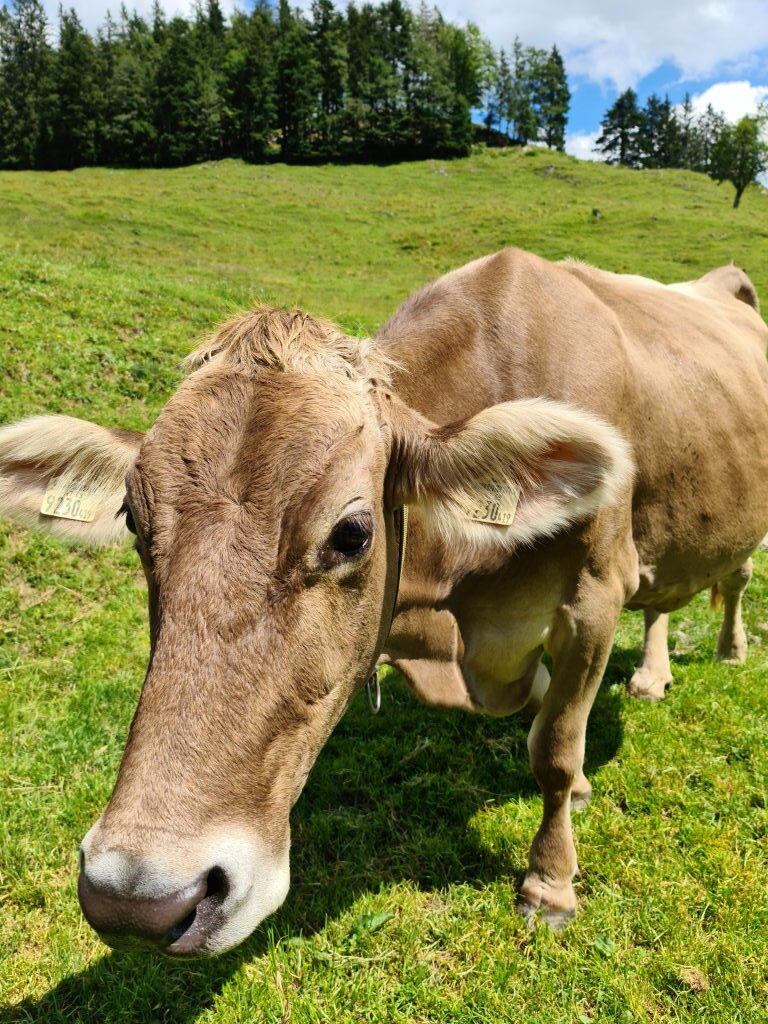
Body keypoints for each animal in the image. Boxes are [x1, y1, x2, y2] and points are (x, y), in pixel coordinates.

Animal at [1, 248, 766, 957]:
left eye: (351, 533)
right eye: (133, 519)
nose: (134, 896)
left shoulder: (596, 594)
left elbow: (553, 747)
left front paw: (549, 883)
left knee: (731, 582)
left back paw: (723, 651)